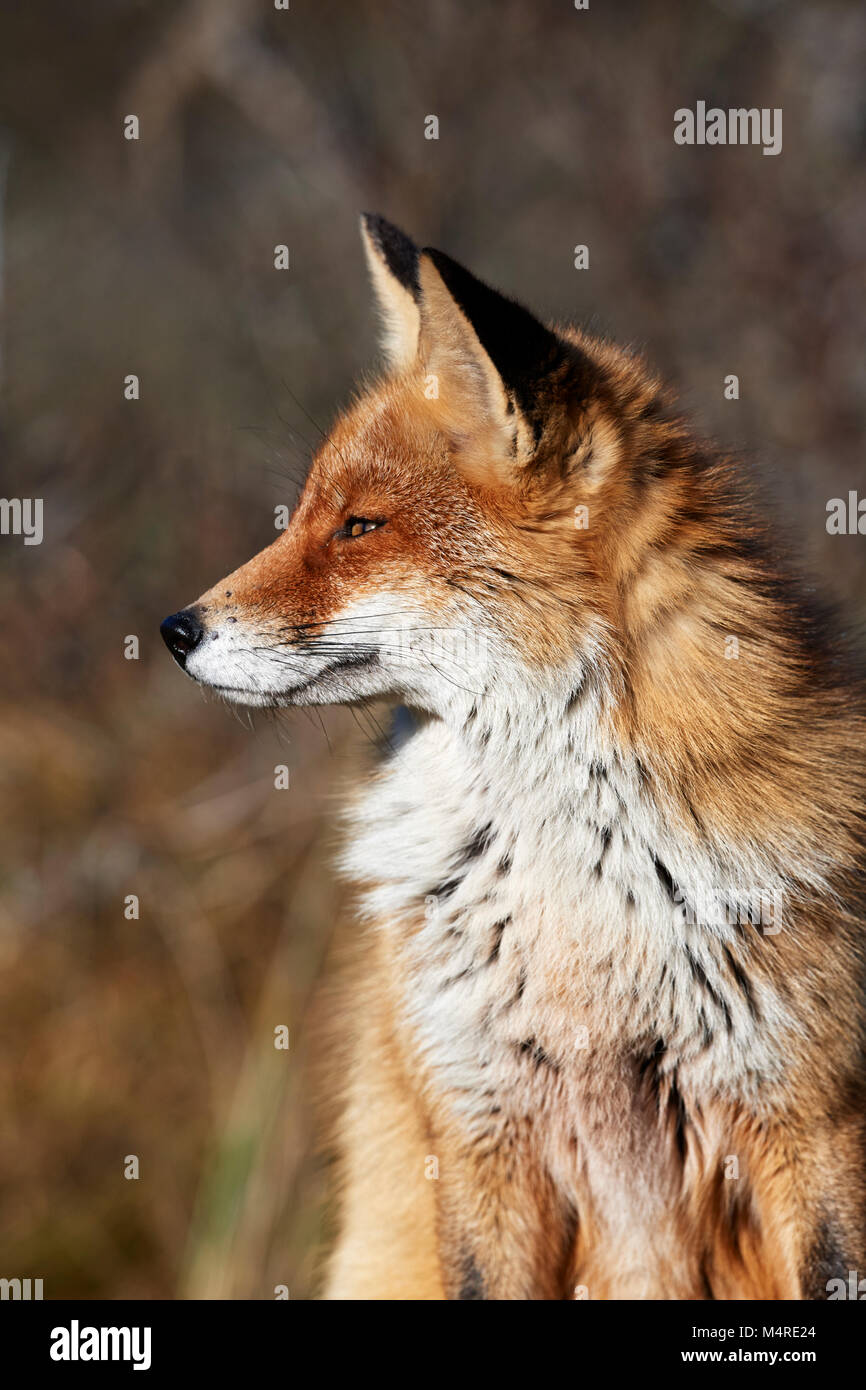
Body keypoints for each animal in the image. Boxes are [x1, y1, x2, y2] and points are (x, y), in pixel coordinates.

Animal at [161, 213, 866, 1300]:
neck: (578, 909)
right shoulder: (477, 1134)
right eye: (313, 512)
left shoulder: (809, 1117)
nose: (175, 630)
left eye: (359, 525)